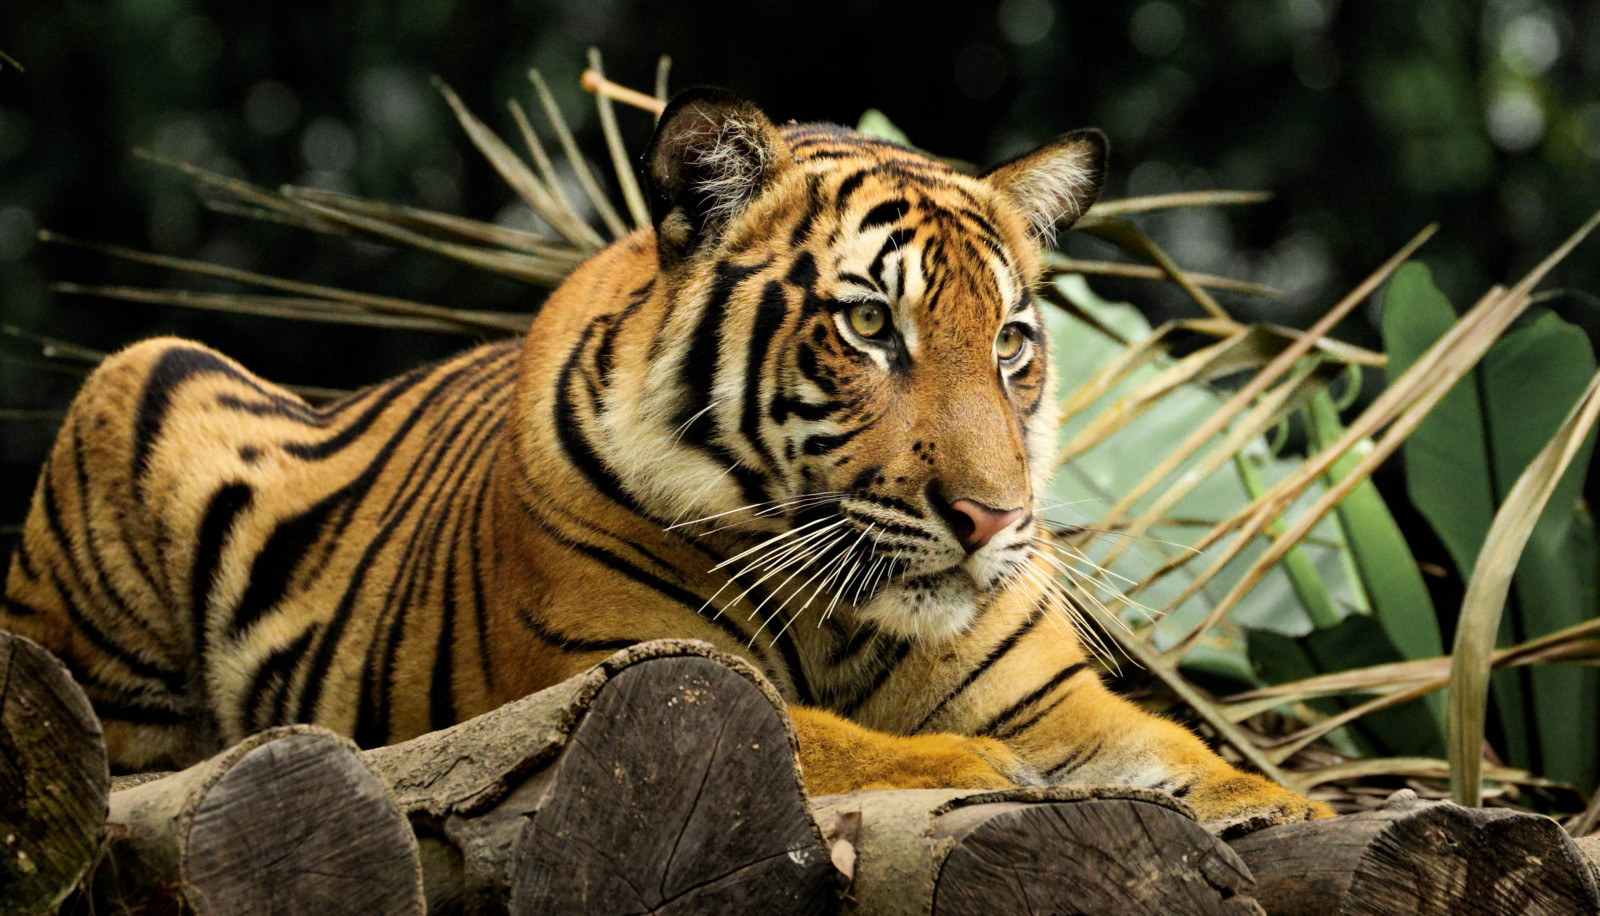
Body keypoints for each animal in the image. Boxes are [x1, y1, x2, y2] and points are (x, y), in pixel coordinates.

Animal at [2, 89, 1329, 824]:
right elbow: (839, 740)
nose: (995, 520)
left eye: (1009, 344)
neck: (852, 611)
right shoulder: (627, 672)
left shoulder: (1053, 695)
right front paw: (993, 773)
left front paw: (1275, 797)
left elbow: (1205, 761)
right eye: (868, 325)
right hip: (143, 387)